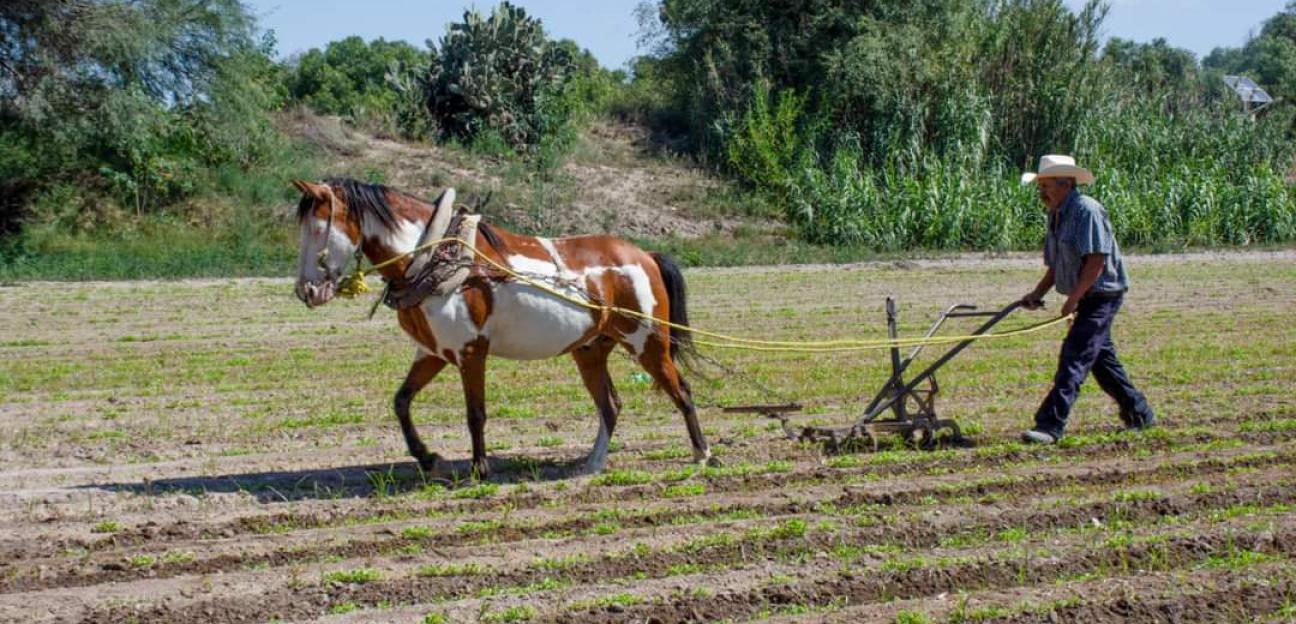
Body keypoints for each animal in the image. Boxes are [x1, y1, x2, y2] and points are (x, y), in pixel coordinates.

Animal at [291, 176, 720, 477]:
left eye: (318, 227)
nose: (306, 290)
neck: (434, 259)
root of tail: (643, 254)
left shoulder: (470, 352)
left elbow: (475, 413)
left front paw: (479, 468)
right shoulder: (433, 352)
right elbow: (401, 402)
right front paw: (429, 459)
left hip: (648, 341)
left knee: (681, 391)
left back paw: (703, 454)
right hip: (591, 349)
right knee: (610, 404)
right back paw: (592, 463)